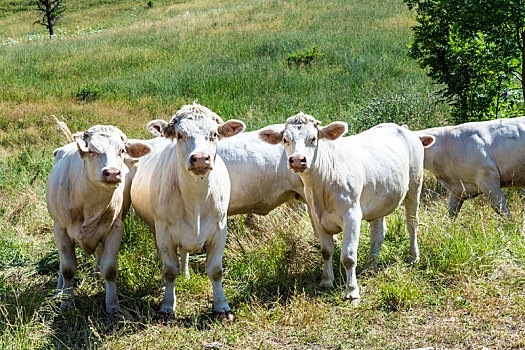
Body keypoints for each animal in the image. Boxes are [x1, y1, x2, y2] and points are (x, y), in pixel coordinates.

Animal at [46, 124, 151, 314]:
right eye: (92, 151)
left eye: (121, 150)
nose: (112, 173)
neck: (89, 204)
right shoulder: (60, 230)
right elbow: (67, 269)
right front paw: (67, 301)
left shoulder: (114, 230)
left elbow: (109, 269)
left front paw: (112, 304)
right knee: (61, 265)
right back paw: (59, 290)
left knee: (98, 255)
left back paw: (95, 277)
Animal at [131, 103, 246, 318]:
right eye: (180, 134)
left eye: (214, 133)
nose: (200, 159)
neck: (196, 202)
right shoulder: (164, 233)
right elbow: (169, 269)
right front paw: (168, 305)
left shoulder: (220, 230)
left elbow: (216, 270)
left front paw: (222, 305)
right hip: (155, 229)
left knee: (184, 253)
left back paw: (185, 274)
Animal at [258, 114, 434, 304]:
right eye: (285, 139)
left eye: (313, 138)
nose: (297, 159)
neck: (323, 186)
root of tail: (402, 128)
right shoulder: (316, 217)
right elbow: (326, 251)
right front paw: (326, 281)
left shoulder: (352, 216)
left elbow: (348, 256)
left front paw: (351, 290)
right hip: (380, 199)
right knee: (378, 234)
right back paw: (371, 265)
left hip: (415, 185)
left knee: (412, 224)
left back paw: (413, 256)